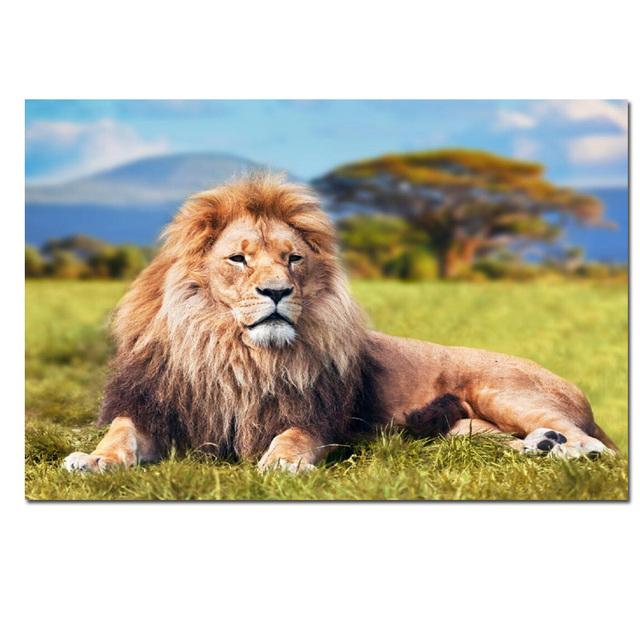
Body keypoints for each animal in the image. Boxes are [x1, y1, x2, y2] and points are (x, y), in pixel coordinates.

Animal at [63, 175, 616, 475]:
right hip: (463, 428)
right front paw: (92, 460)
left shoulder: (316, 417)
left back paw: (564, 449)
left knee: (595, 445)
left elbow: (292, 437)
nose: (277, 292)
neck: (234, 353)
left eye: (293, 259)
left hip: (502, 389)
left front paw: (282, 462)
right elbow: (121, 434)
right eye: (239, 259)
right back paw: (540, 446)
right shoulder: (156, 408)